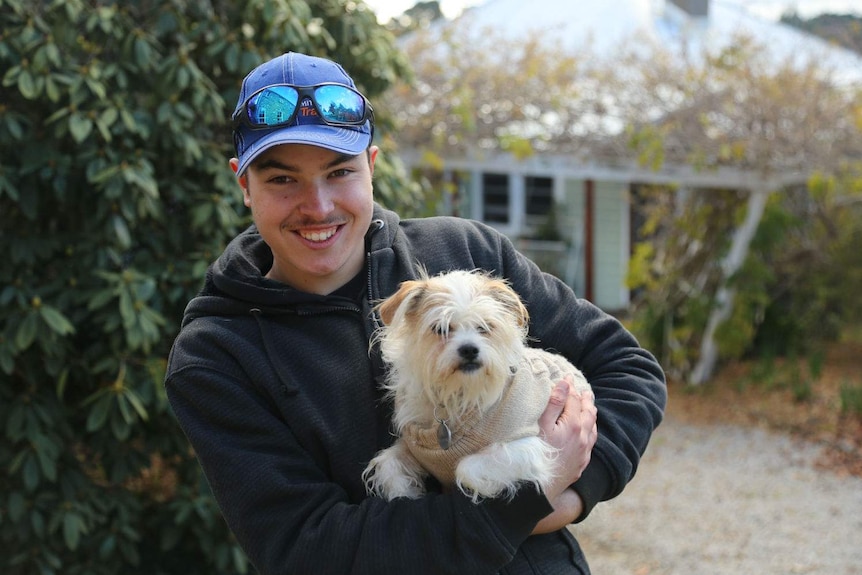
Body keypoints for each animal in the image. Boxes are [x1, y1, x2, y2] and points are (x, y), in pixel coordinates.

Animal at [362, 268, 592, 502]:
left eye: (484, 327)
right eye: (440, 328)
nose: (469, 349)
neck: (456, 395)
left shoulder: (528, 445)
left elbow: (466, 466)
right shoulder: (414, 446)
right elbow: (388, 464)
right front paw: (404, 492)